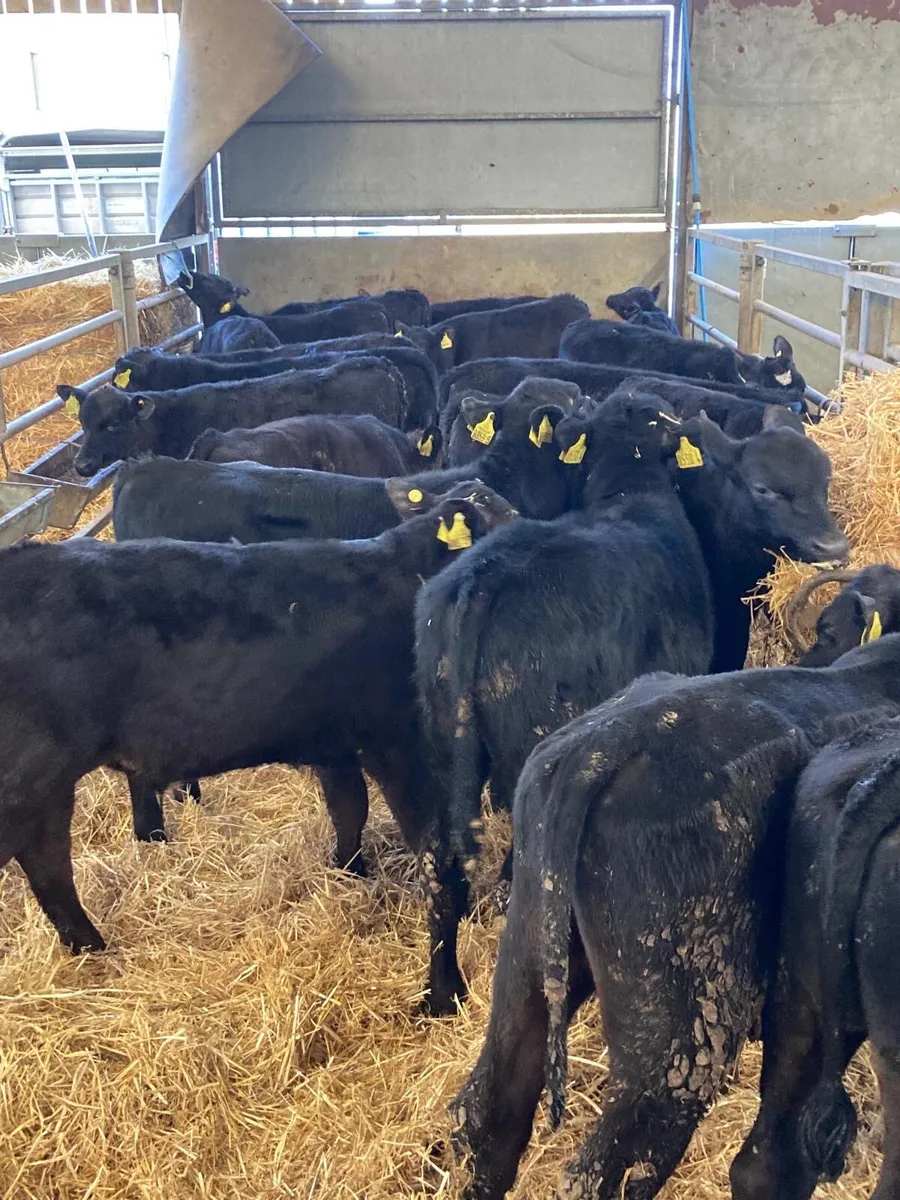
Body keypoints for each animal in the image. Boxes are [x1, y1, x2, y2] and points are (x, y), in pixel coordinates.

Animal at [0, 485, 512, 951]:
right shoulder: (398, 743)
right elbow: (423, 836)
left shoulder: (335, 742)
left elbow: (349, 809)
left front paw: (349, 871)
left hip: (47, 788)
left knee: (47, 859)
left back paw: (90, 945)